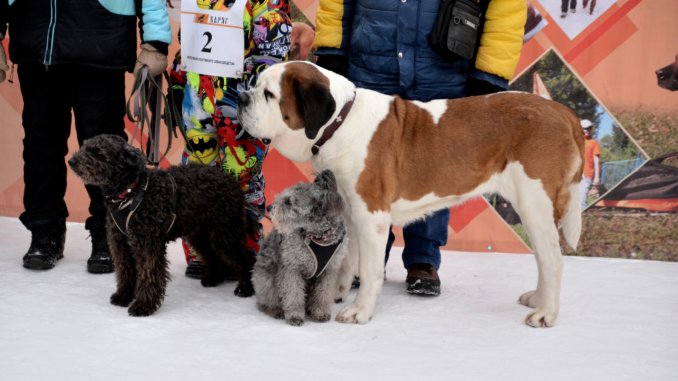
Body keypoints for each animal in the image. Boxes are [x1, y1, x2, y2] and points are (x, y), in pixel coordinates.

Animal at [69, 134, 255, 314]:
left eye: (98, 152)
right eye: (84, 146)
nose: (71, 161)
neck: (130, 192)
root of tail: (230, 180)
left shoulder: (147, 243)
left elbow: (149, 274)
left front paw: (143, 305)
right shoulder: (120, 243)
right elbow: (125, 271)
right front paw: (123, 296)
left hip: (225, 233)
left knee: (245, 259)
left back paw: (245, 288)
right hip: (201, 234)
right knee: (213, 256)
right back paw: (213, 278)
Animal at [254, 171, 350, 326]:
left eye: (289, 201)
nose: (269, 207)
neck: (318, 236)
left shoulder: (329, 270)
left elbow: (322, 294)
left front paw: (320, 313)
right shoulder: (292, 268)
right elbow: (293, 294)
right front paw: (295, 316)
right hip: (266, 279)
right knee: (266, 299)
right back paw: (275, 310)